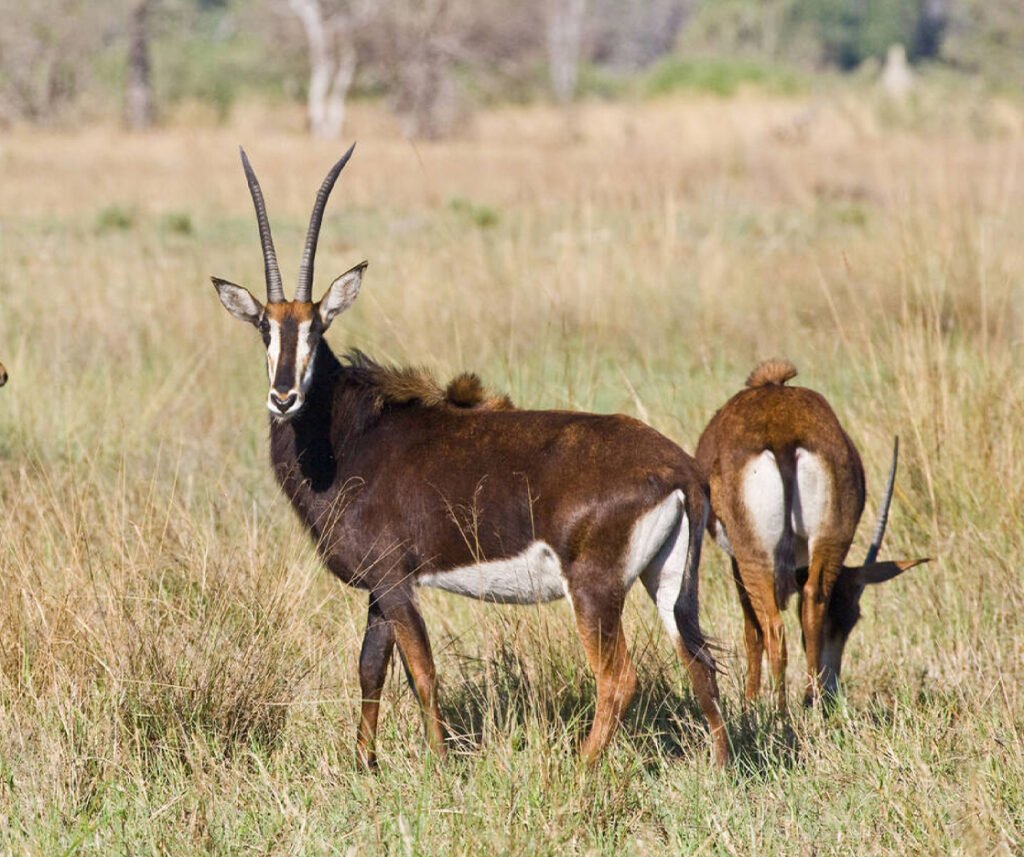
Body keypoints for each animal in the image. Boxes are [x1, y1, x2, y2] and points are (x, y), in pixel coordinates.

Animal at [210, 146, 729, 768]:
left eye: (317, 327)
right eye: (265, 327)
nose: (284, 396)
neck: (352, 435)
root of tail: (681, 469)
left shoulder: (394, 582)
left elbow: (422, 673)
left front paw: (437, 765)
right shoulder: (381, 591)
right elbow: (370, 670)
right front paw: (365, 765)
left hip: (595, 591)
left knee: (617, 678)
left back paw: (579, 776)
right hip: (669, 582)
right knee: (699, 663)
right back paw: (722, 770)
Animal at [695, 360, 927, 709]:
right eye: (850, 618)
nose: (833, 688)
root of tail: (783, 434)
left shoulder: (735, 560)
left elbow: (752, 631)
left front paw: (750, 701)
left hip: (753, 555)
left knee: (773, 626)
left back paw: (778, 710)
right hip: (831, 540)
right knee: (813, 601)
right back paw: (810, 700)